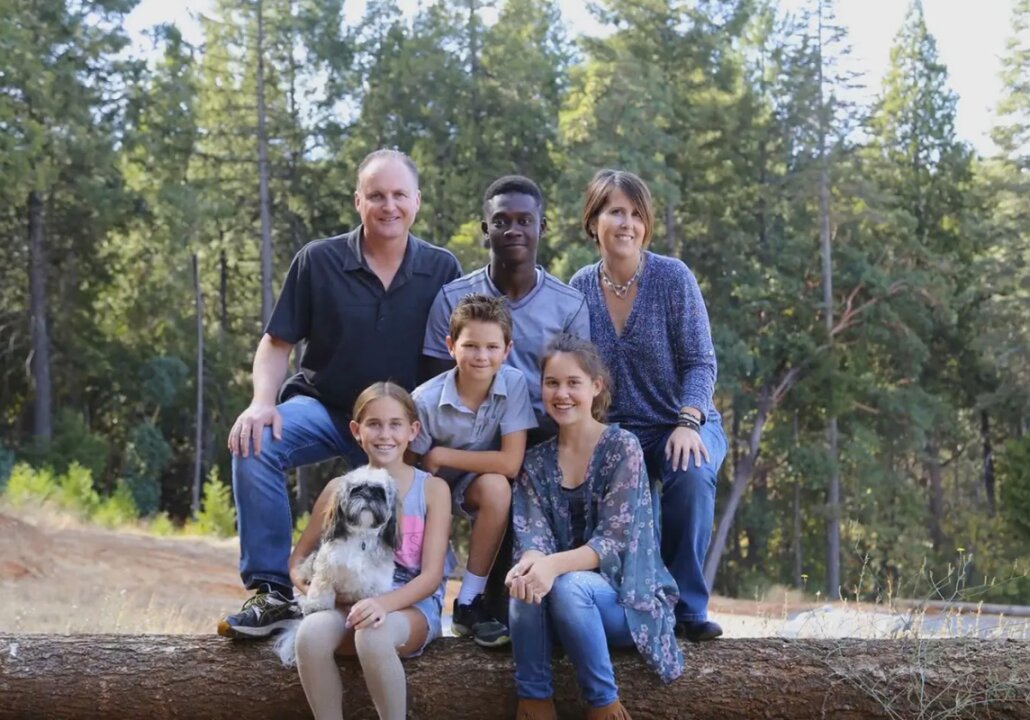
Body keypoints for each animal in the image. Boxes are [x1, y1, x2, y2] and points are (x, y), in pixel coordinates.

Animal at [274, 466, 400, 666]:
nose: (368, 496)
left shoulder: (378, 583)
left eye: (379, 492)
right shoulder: (325, 567)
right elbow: (321, 588)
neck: (361, 538)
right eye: (357, 489)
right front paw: (315, 605)